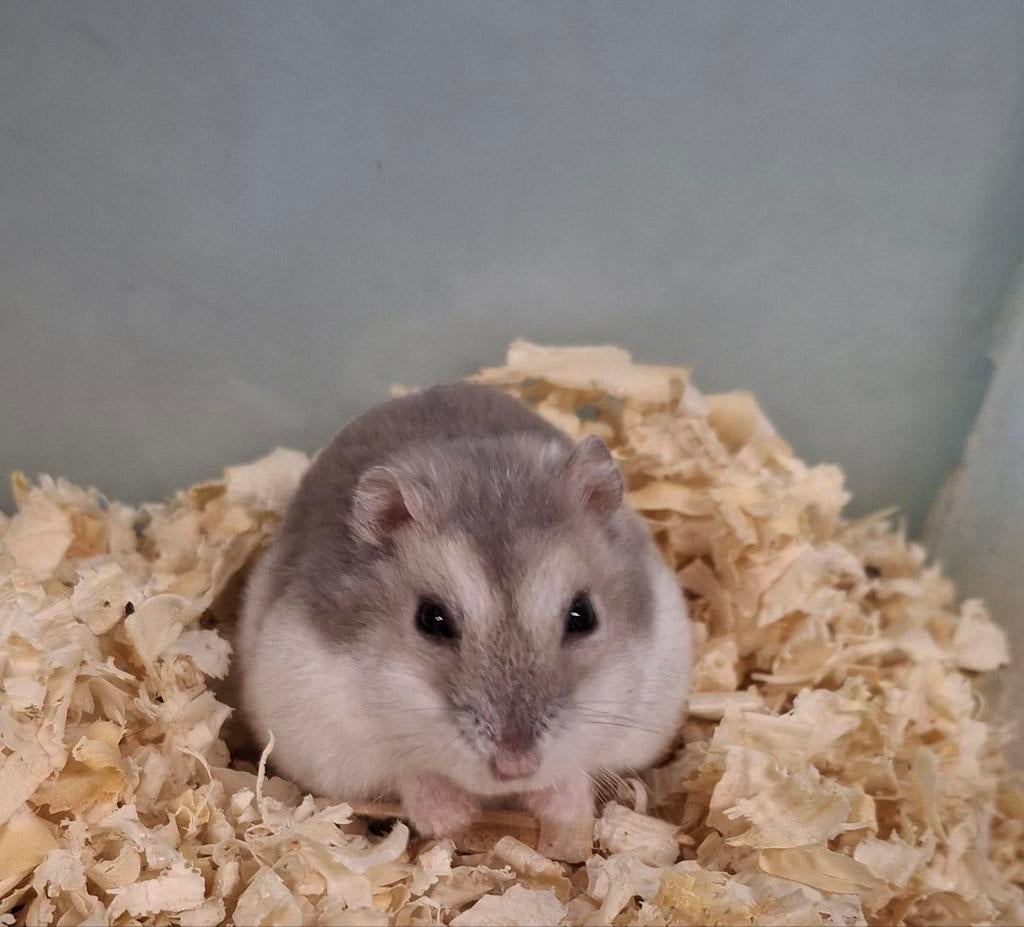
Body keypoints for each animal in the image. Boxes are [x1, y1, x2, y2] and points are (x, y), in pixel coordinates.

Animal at [236, 382, 692, 836]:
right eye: (431, 620)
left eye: (583, 615)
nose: (515, 767)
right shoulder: (325, 733)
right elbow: (409, 773)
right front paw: (452, 819)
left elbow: (579, 768)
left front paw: (563, 810)